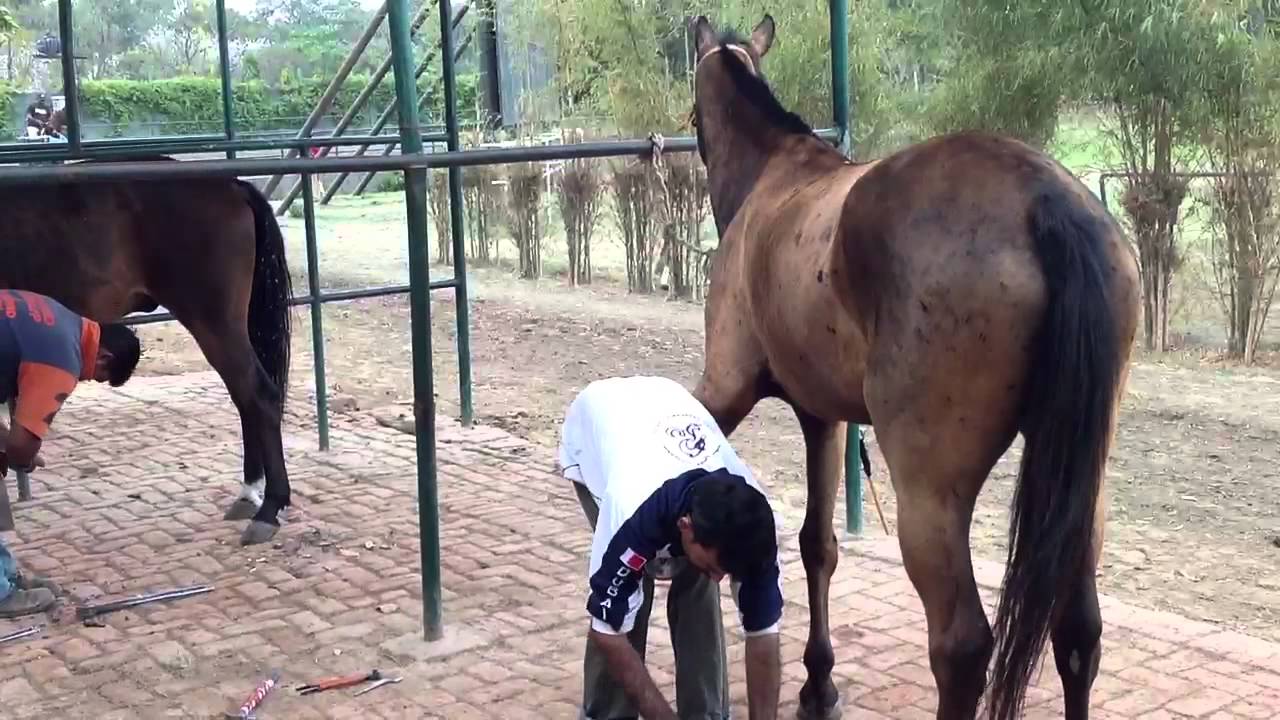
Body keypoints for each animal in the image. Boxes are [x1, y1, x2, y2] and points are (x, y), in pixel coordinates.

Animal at [0, 155, 295, 546]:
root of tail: (230, 185)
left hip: (214, 322)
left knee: (259, 395)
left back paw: (269, 508)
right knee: (245, 396)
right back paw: (249, 493)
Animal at [687, 15, 1140, 720]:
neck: (772, 177)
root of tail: (1042, 199)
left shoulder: (725, 389)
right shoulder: (825, 417)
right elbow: (819, 545)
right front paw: (819, 684)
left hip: (929, 492)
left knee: (961, 646)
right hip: (1082, 481)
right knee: (1078, 633)